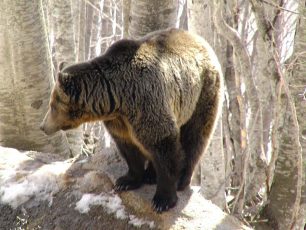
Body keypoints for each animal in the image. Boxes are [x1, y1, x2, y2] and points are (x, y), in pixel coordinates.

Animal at [40, 27, 222, 213]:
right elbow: (129, 147)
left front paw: (163, 199)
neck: (116, 98)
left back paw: (182, 179)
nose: (43, 126)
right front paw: (126, 181)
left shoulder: (145, 101)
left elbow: (163, 143)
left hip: (202, 93)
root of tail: (201, 40)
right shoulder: (120, 120)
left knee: (195, 136)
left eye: (52, 105)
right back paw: (150, 175)